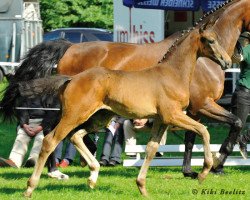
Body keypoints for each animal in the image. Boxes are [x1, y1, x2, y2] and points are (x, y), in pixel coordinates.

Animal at [24, 26, 231, 197]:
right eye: (210, 40)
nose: (227, 62)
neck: (173, 74)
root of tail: (70, 79)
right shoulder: (173, 115)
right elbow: (203, 130)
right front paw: (205, 170)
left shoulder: (160, 120)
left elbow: (151, 149)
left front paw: (142, 187)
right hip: (74, 115)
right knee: (51, 140)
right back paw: (31, 187)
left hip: (100, 118)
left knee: (76, 136)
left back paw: (92, 176)